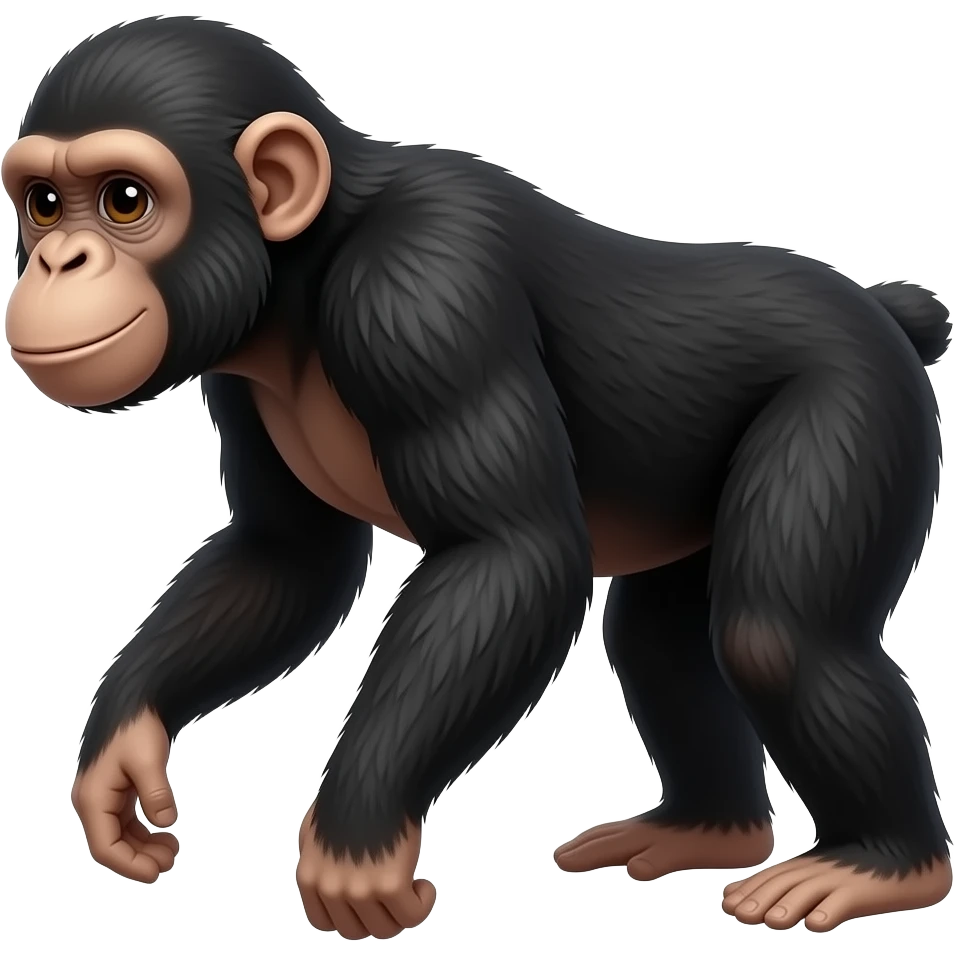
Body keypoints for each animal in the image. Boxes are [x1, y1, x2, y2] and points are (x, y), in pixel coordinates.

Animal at [3, 15, 951, 941]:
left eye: (125, 199)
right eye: (44, 205)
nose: (56, 262)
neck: (302, 273)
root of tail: (880, 308)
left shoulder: (422, 297)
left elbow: (508, 548)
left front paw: (355, 839)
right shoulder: (239, 379)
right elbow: (285, 555)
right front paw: (120, 754)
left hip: (855, 404)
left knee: (775, 636)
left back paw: (881, 863)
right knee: (657, 638)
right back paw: (706, 829)